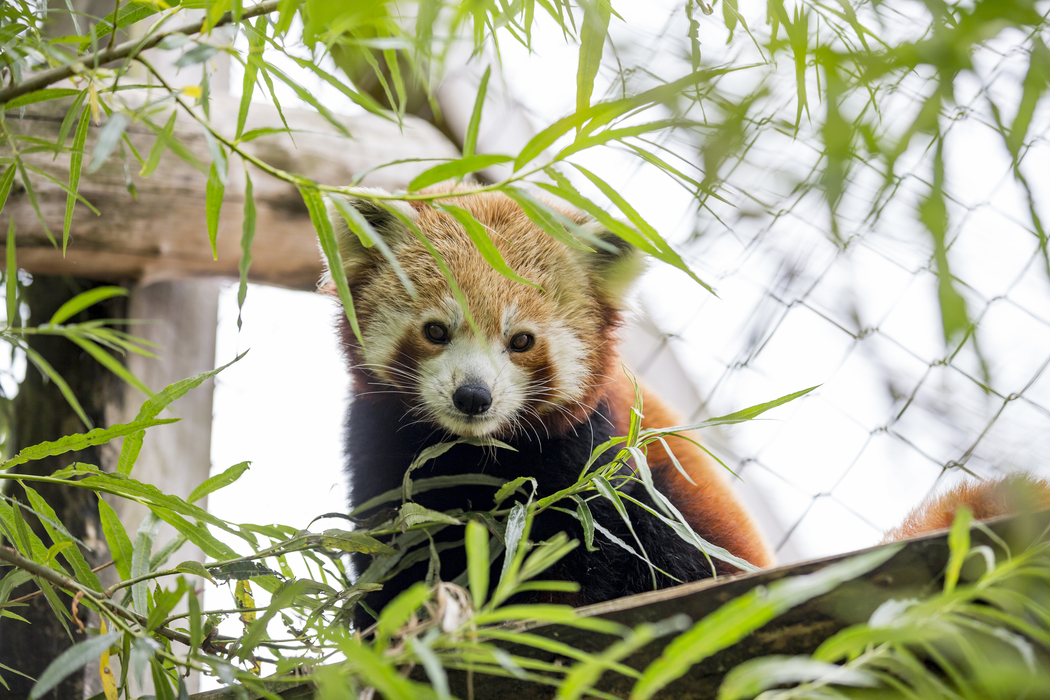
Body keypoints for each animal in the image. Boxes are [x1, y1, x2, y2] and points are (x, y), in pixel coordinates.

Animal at [319, 184, 1050, 625]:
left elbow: (596, 557)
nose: (473, 396)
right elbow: (396, 551)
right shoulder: (385, 448)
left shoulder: (596, 460)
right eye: (436, 331)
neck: (477, 451)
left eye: (521, 340)